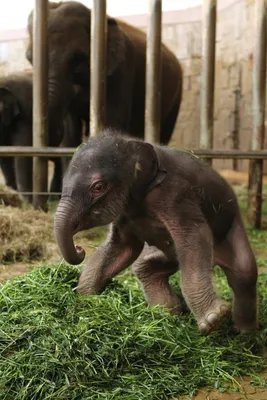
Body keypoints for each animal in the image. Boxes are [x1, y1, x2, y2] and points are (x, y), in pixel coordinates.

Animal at [53, 131, 258, 334]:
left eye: (98, 187)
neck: (131, 143)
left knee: (244, 272)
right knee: (147, 267)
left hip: (232, 225)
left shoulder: (175, 194)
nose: (80, 249)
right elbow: (123, 247)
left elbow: (193, 235)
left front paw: (214, 320)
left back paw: (244, 332)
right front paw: (85, 297)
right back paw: (167, 314)